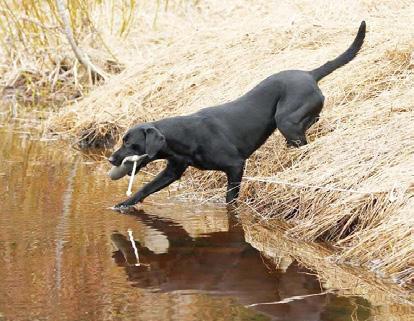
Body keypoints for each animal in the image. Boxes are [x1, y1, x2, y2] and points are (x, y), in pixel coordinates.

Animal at [109, 21, 366, 208]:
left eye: (130, 144)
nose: (111, 159)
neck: (181, 137)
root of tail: (310, 74)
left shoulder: (235, 166)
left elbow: (230, 198)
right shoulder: (173, 170)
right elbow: (146, 188)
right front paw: (123, 204)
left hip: (286, 121)